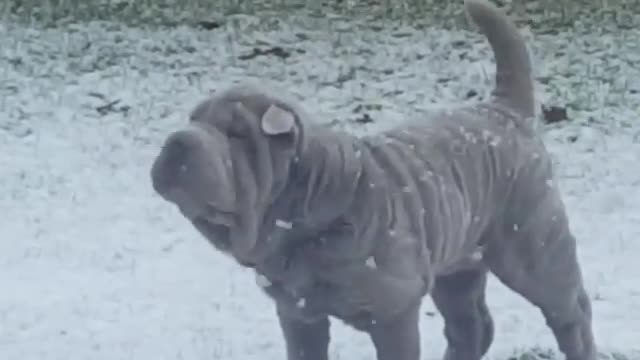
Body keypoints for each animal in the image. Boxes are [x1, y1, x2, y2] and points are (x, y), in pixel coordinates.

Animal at [149, 1, 596, 358]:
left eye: (238, 134)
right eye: (193, 120)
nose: (177, 141)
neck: (308, 212)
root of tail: (505, 110)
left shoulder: (393, 311)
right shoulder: (298, 313)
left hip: (532, 247)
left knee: (570, 312)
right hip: (457, 263)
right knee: (471, 327)